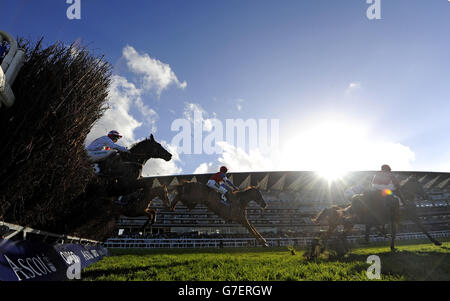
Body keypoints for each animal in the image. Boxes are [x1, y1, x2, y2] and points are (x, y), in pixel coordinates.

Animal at [312, 176, 442, 251]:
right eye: (420, 186)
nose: (427, 196)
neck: (402, 198)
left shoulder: (396, 218)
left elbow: (394, 231)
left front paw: (391, 245)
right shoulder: (402, 217)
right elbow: (421, 227)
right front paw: (436, 241)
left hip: (346, 224)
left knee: (335, 235)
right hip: (348, 222)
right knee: (334, 235)